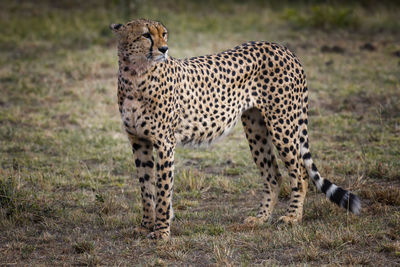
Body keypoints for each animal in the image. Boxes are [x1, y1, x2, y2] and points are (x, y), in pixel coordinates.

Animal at [110, 18, 362, 241]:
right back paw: (260, 218)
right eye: (146, 35)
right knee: (273, 176)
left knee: (299, 173)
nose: (164, 48)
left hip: (282, 125)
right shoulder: (138, 141)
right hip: (256, 129)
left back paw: (292, 217)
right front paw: (145, 225)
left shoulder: (164, 143)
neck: (135, 75)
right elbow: (146, 188)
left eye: (164, 33)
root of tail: (282, 48)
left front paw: (161, 231)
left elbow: (162, 190)